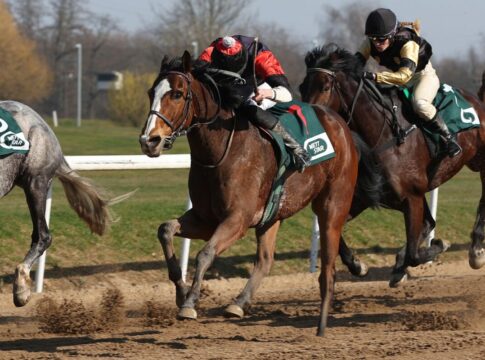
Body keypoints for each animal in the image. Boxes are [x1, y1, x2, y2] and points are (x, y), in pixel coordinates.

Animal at [138, 52, 358, 336]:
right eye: (150, 92)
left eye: (177, 94)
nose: (149, 141)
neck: (220, 151)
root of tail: (339, 122)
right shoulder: (205, 219)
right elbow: (165, 230)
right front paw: (181, 292)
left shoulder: (237, 219)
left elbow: (205, 254)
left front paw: (190, 303)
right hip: (272, 215)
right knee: (265, 260)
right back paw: (238, 303)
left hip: (333, 204)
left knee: (327, 264)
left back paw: (322, 323)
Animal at [298, 45, 484, 286]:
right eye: (302, 86)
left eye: (325, 86)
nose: (308, 126)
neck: (385, 135)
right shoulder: (369, 196)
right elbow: (333, 232)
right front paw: (358, 265)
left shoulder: (412, 197)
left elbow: (415, 253)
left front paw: (437, 246)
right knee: (428, 223)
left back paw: (476, 251)